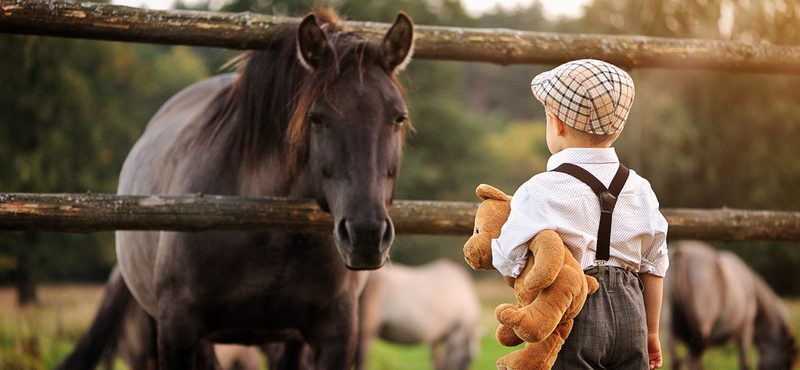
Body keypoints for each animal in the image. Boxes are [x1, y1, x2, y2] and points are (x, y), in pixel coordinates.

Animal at [70, 8, 412, 370]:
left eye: (398, 118)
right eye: (317, 118)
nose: (366, 234)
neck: (266, 230)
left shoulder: (337, 333)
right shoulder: (178, 329)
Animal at [664, 240, 800, 370]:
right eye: (787, 364)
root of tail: (682, 252)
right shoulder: (746, 330)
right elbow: (744, 363)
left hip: (671, 328)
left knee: (677, 360)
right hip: (702, 328)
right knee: (692, 360)